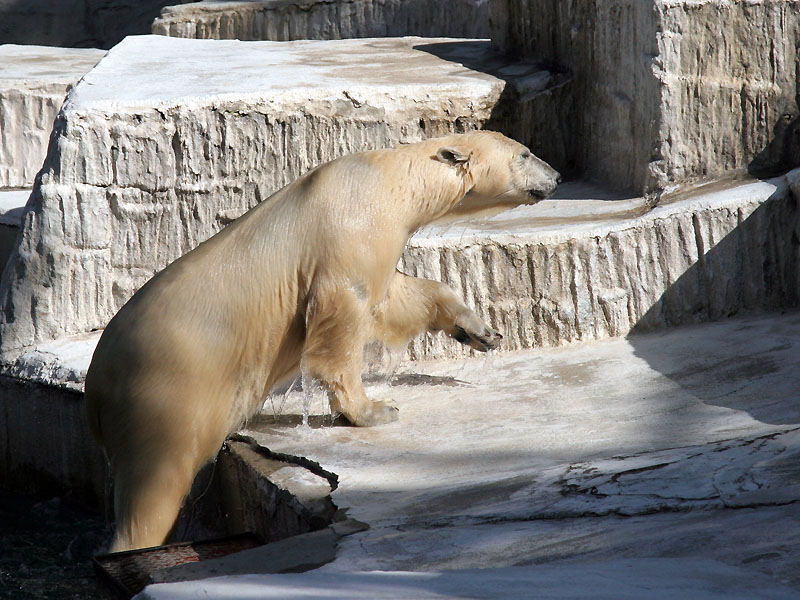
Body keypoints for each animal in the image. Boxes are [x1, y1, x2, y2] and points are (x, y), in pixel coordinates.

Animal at [84, 129, 560, 552]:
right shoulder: (349, 236)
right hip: (165, 389)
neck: (386, 179)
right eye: (525, 153)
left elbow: (394, 297)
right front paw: (375, 410)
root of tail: (95, 393)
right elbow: (344, 318)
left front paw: (480, 331)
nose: (555, 176)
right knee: (156, 483)